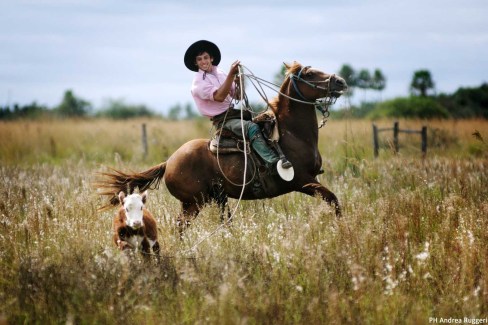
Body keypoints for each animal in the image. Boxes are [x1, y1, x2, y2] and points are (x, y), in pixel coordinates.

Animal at [96, 62, 346, 232]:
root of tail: (169, 162)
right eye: (310, 73)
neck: (291, 134)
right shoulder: (303, 181)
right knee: (182, 226)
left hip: (213, 199)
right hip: (195, 202)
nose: (341, 81)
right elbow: (334, 200)